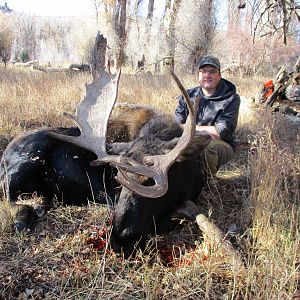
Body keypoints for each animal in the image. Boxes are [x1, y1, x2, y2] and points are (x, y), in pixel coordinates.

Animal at [0, 69, 211, 256]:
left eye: (148, 181)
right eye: (118, 178)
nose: (120, 241)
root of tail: (5, 154)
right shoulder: (109, 196)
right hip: (26, 162)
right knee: (7, 196)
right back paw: (24, 216)